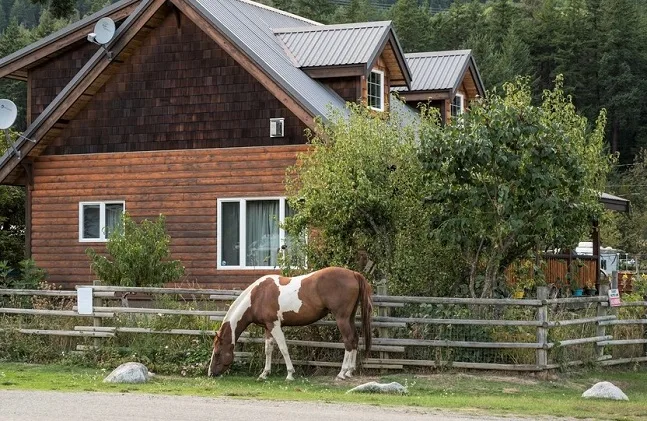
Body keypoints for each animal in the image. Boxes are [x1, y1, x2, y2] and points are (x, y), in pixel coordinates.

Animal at [208, 267, 373, 381]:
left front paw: (290, 374)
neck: (257, 296)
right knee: (355, 339)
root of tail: (353, 274)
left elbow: (283, 348)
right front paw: (264, 373)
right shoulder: (268, 327)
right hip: (349, 317)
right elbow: (268, 349)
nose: (210, 373)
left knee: (348, 341)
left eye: (217, 353)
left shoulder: (275, 325)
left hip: (341, 318)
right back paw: (350, 371)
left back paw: (342, 372)